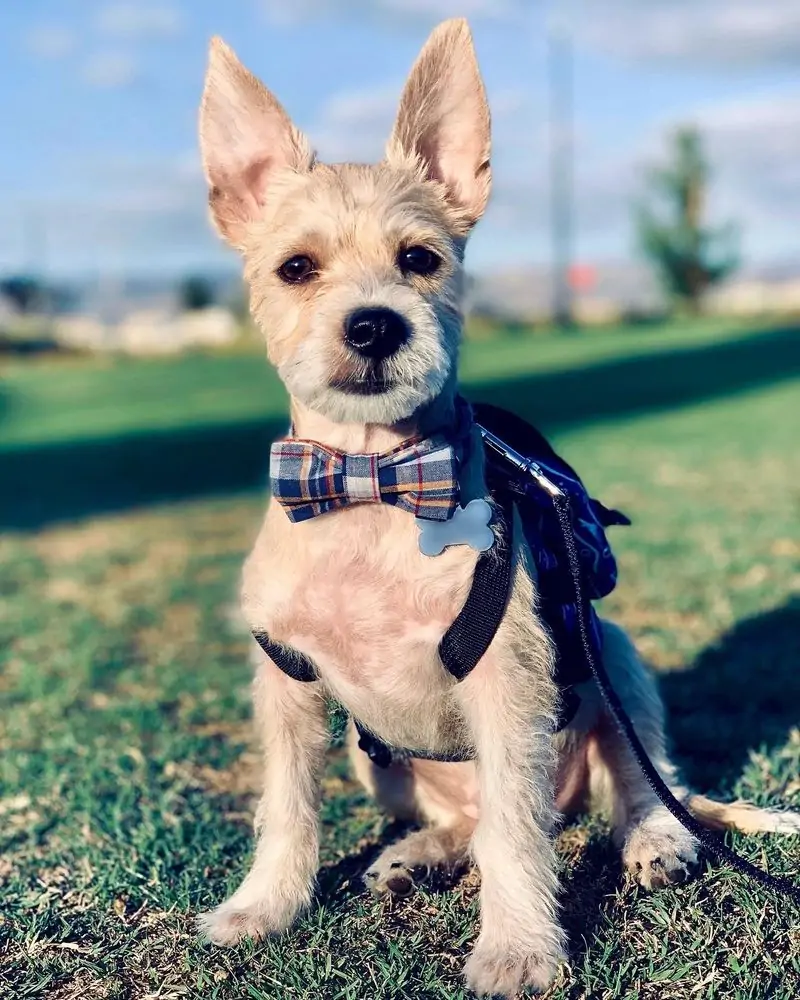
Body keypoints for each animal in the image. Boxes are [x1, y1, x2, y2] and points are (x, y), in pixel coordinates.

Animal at [196, 19, 800, 997]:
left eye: (420, 259)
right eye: (296, 268)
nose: (375, 325)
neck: (372, 482)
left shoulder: (509, 686)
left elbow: (517, 837)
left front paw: (519, 950)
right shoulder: (286, 682)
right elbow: (286, 808)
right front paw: (263, 906)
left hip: (610, 656)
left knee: (638, 781)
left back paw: (657, 840)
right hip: (379, 759)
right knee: (467, 824)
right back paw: (418, 853)